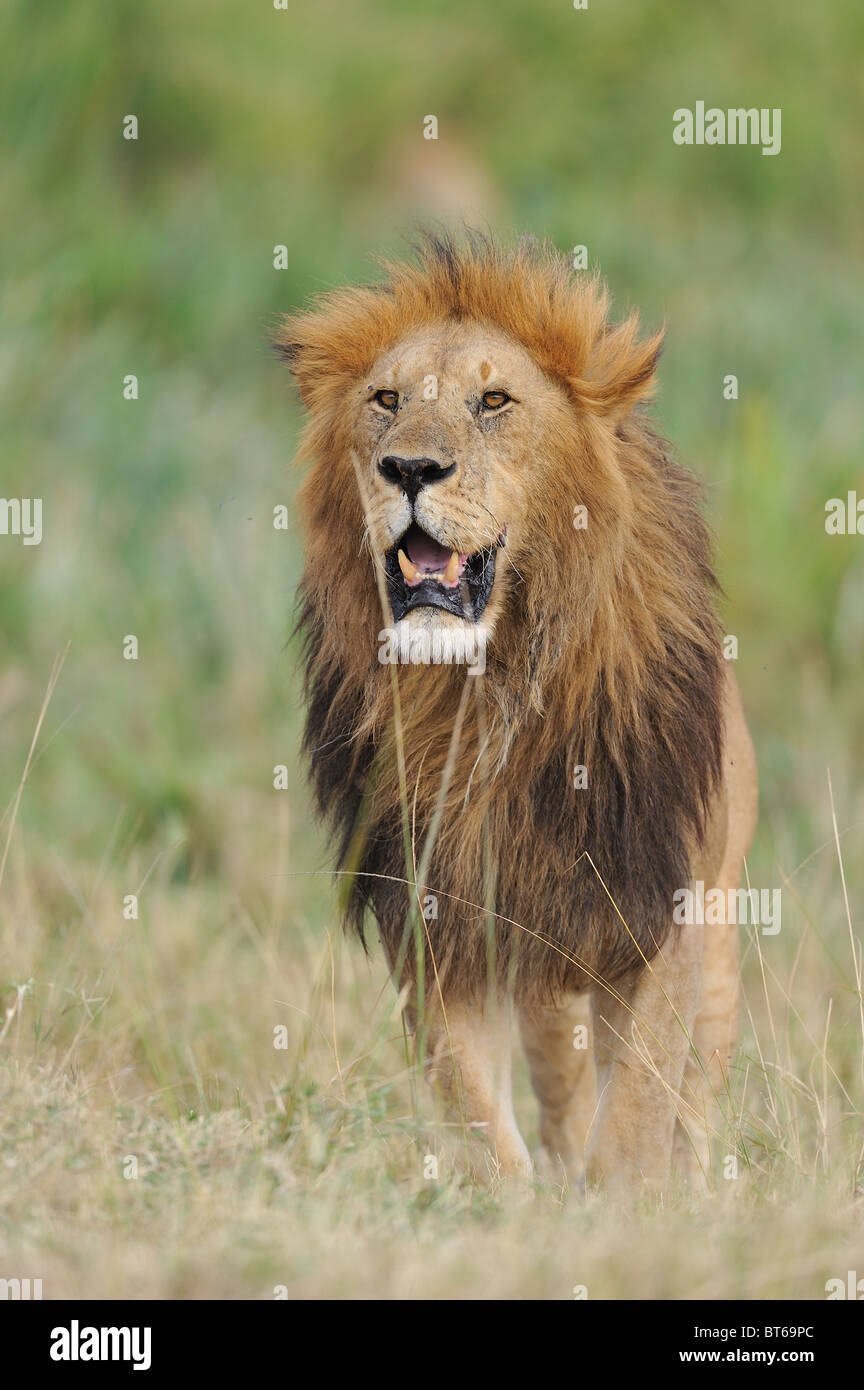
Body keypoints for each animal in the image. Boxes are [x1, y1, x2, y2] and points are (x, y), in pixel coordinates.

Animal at [276, 233, 758, 1191]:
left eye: (493, 402)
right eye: (386, 401)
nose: (409, 469)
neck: (487, 689)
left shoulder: (660, 914)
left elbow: (639, 1107)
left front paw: (624, 1206)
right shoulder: (439, 919)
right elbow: (471, 1106)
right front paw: (507, 1204)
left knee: (692, 1097)